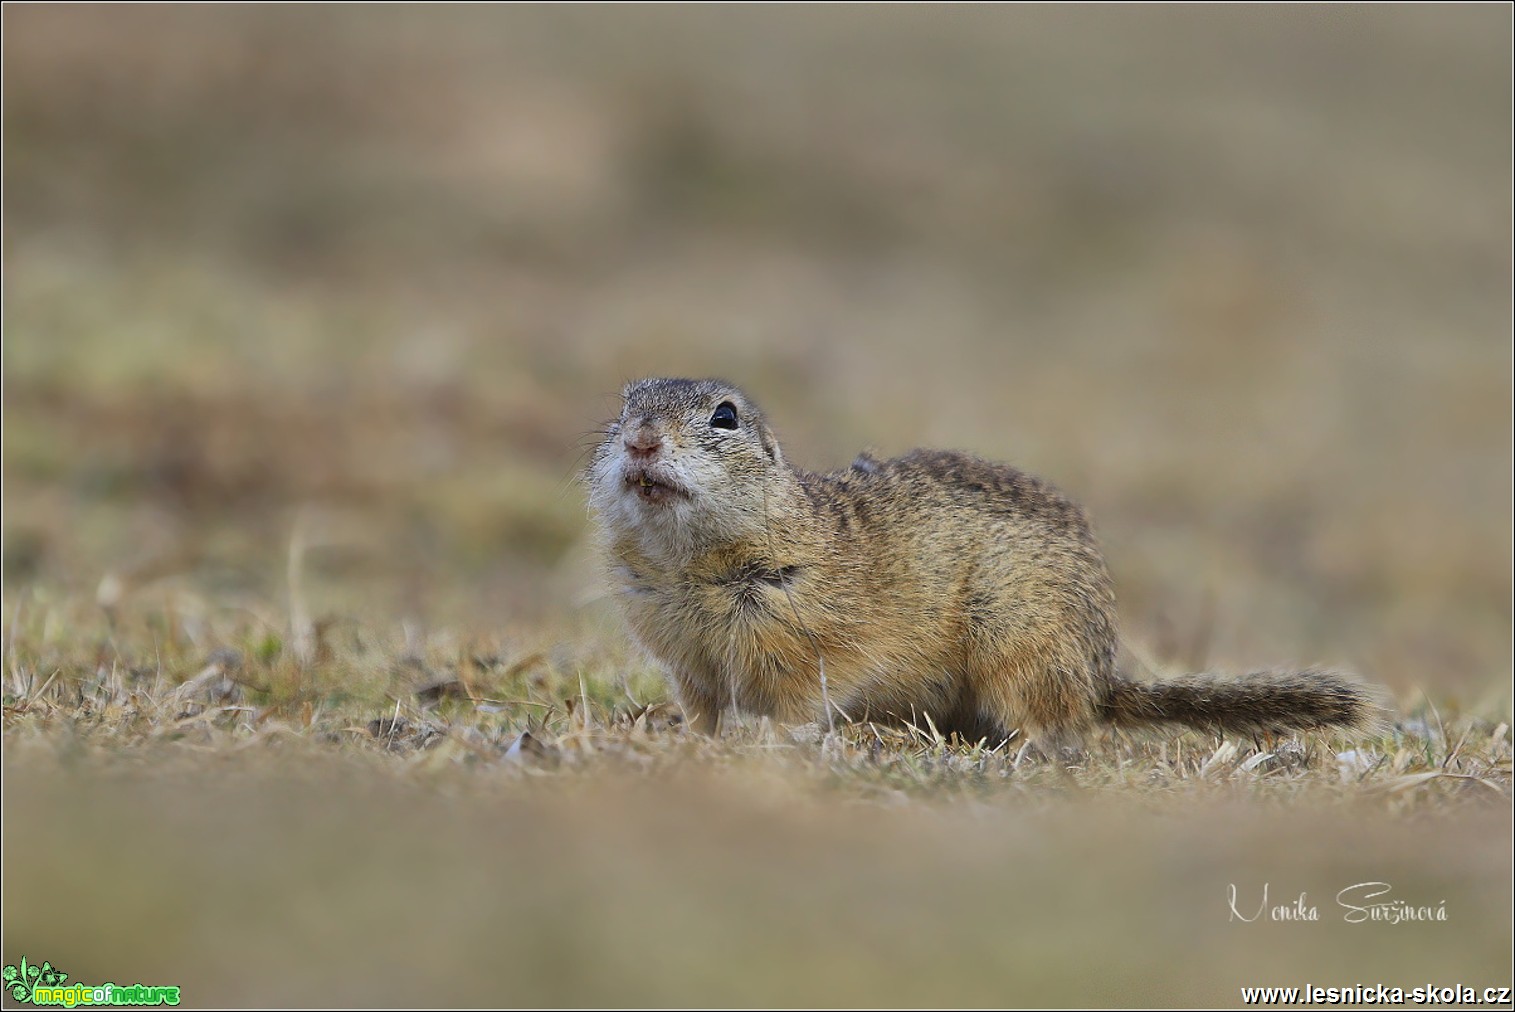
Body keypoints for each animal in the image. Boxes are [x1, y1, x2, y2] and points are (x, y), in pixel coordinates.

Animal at [584, 375, 1381, 748]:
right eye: (624, 404)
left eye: (724, 416)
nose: (642, 440)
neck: (691, 567)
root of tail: (1100, 678)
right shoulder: (690, 667)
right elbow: (703, 713)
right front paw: (687, 739)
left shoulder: (810, 653)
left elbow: (796, 706)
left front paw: (767, 742)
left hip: (1018, 645)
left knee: (1056, 726)